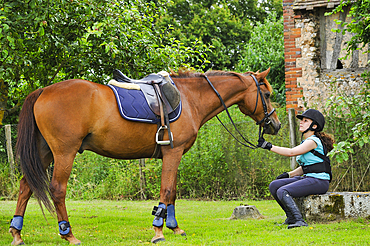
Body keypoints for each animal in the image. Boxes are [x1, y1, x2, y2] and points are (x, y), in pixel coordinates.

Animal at [9, 68, 280, 245]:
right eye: (266, 95)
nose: (275, 125)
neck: (190, 98)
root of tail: (43, 91)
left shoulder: (174, 155)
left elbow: (172, 191)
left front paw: (174, 227)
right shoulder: (173, 153)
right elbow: (166, 191)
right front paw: (159, 232)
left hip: (44, 153)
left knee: (25, 187)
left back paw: (17, 233)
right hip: (64, 153)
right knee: (57, 189)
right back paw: (68, 234)